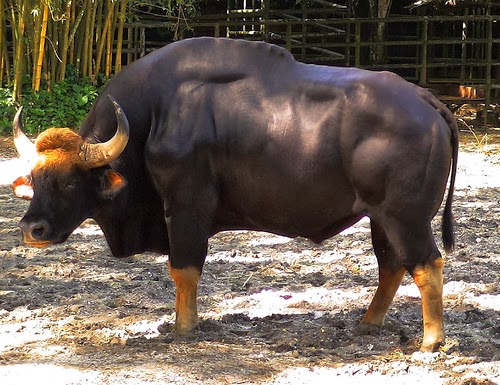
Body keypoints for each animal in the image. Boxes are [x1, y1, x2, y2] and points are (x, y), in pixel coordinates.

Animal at [11, 36, 458, 352]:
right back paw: (368, 324)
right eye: (34, 177)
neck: (153, 117)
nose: (32, 229)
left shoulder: (186, 207)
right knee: (392, 266)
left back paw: (431, 341)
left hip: (406, 217)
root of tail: (425, 100)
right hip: (381, 218)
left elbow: (183, 268)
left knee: (427, 265)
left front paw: (184, 327)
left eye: (70, 181)